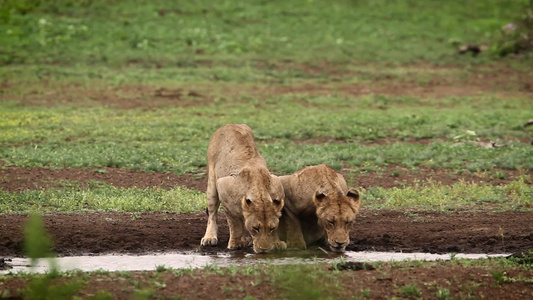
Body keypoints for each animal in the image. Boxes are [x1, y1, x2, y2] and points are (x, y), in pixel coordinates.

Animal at [200, 124, 284, 253]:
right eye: (255, 228)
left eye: (272, 228)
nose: (264, 250)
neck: (260, 193)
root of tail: (229, 124)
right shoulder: (223, 186)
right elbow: (235, 224)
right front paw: (236, 244)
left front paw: (277, 243)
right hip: (212, 183)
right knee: (212, 214)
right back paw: (209, 238)